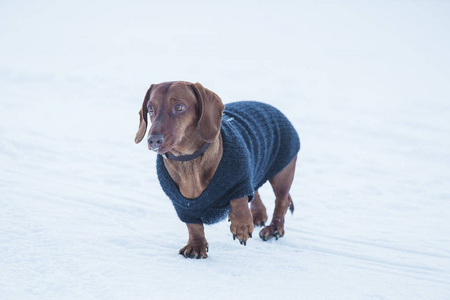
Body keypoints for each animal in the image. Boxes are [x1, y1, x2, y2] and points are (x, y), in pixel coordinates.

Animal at [135, 81, 300, 258]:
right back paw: (258, 214)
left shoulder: (240, 180)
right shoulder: (183, 206)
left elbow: (239, 201)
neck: (189, 161)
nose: (153, 140)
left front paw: (241, 226)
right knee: (256, 191)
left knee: (282, 201)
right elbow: (193, 226)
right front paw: (196, 246)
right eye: (150, 108)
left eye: (179, 107)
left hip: (282, 172)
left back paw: (274, 229)